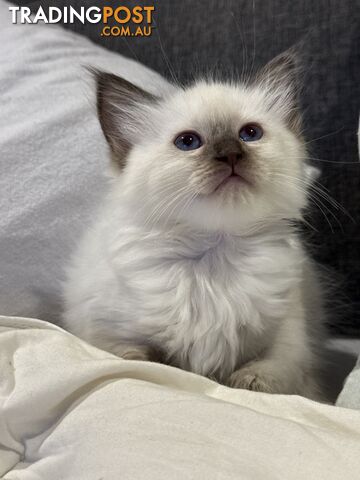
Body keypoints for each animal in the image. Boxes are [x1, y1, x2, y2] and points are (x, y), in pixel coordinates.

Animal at [62, 49, 326, 402]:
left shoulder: (289, 335)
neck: (214, 258)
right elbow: (130, 357)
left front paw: (246, 382)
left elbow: (274, 369)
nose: (230, 154)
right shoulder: (103, 328)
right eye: (188, 142)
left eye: (250, 134)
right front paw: (156, 365)